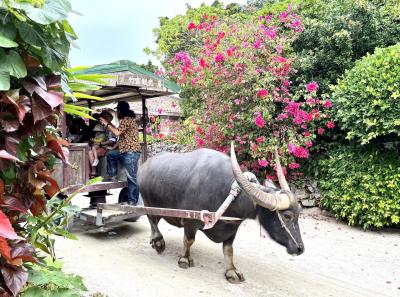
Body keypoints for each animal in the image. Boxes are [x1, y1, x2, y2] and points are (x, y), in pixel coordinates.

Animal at [137, 143, 304, 282]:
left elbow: (229, 250)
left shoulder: (231, 228)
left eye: (298, 214)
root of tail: (144, 167)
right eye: (287, 216)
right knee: (151, 218)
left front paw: (231, 271)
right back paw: (158, 241)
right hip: (148, 202)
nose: (300, 249)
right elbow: (189, 240)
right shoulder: (191, 222)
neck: (227, 193)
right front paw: (184, 259)